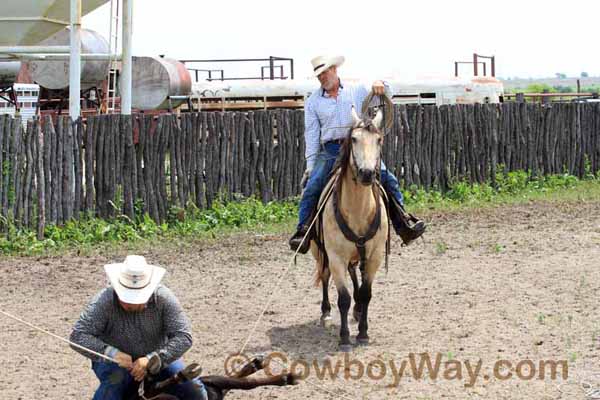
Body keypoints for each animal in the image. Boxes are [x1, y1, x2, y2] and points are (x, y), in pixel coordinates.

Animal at [310, 97, 394, 354]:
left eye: (379, 140)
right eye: (354, 139)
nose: (366, 173)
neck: (357, 211)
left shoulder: (375, 255)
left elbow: (365, 293)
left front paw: (363, 334)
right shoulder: (336, 256)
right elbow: (344, 298)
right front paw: (345, 338)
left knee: (354, 274)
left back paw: (357, 312)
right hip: (320, 252)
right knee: (324, 275)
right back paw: (326, 313)